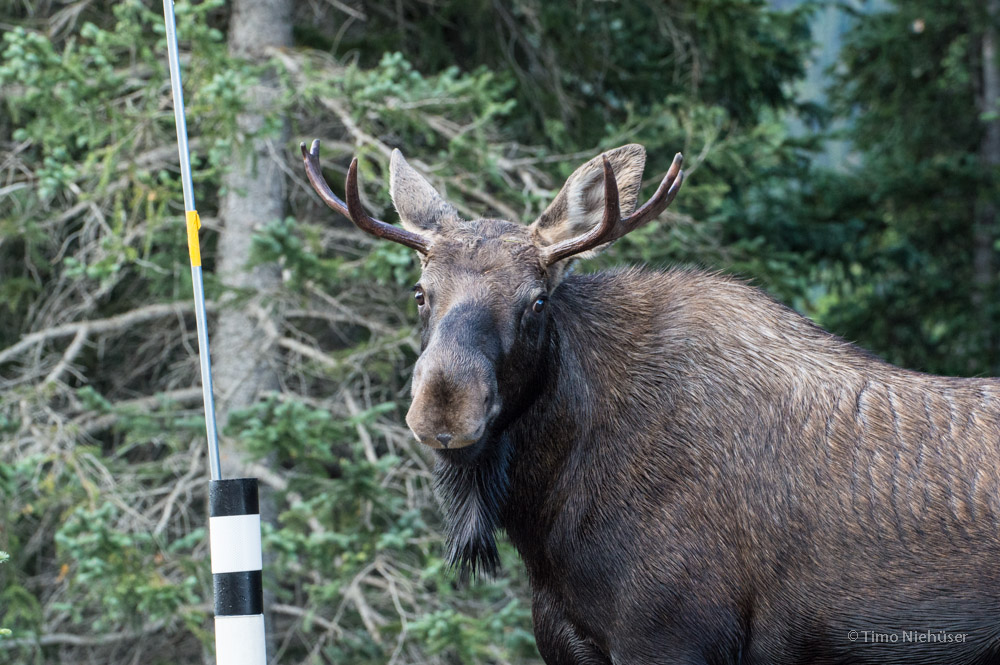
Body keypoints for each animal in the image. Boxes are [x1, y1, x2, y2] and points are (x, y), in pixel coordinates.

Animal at [301, 139, 1000, 665]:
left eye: (537, 301)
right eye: (421, 293)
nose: (445, 407)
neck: (548, 511)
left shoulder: (671, 637)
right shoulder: (567, 644)